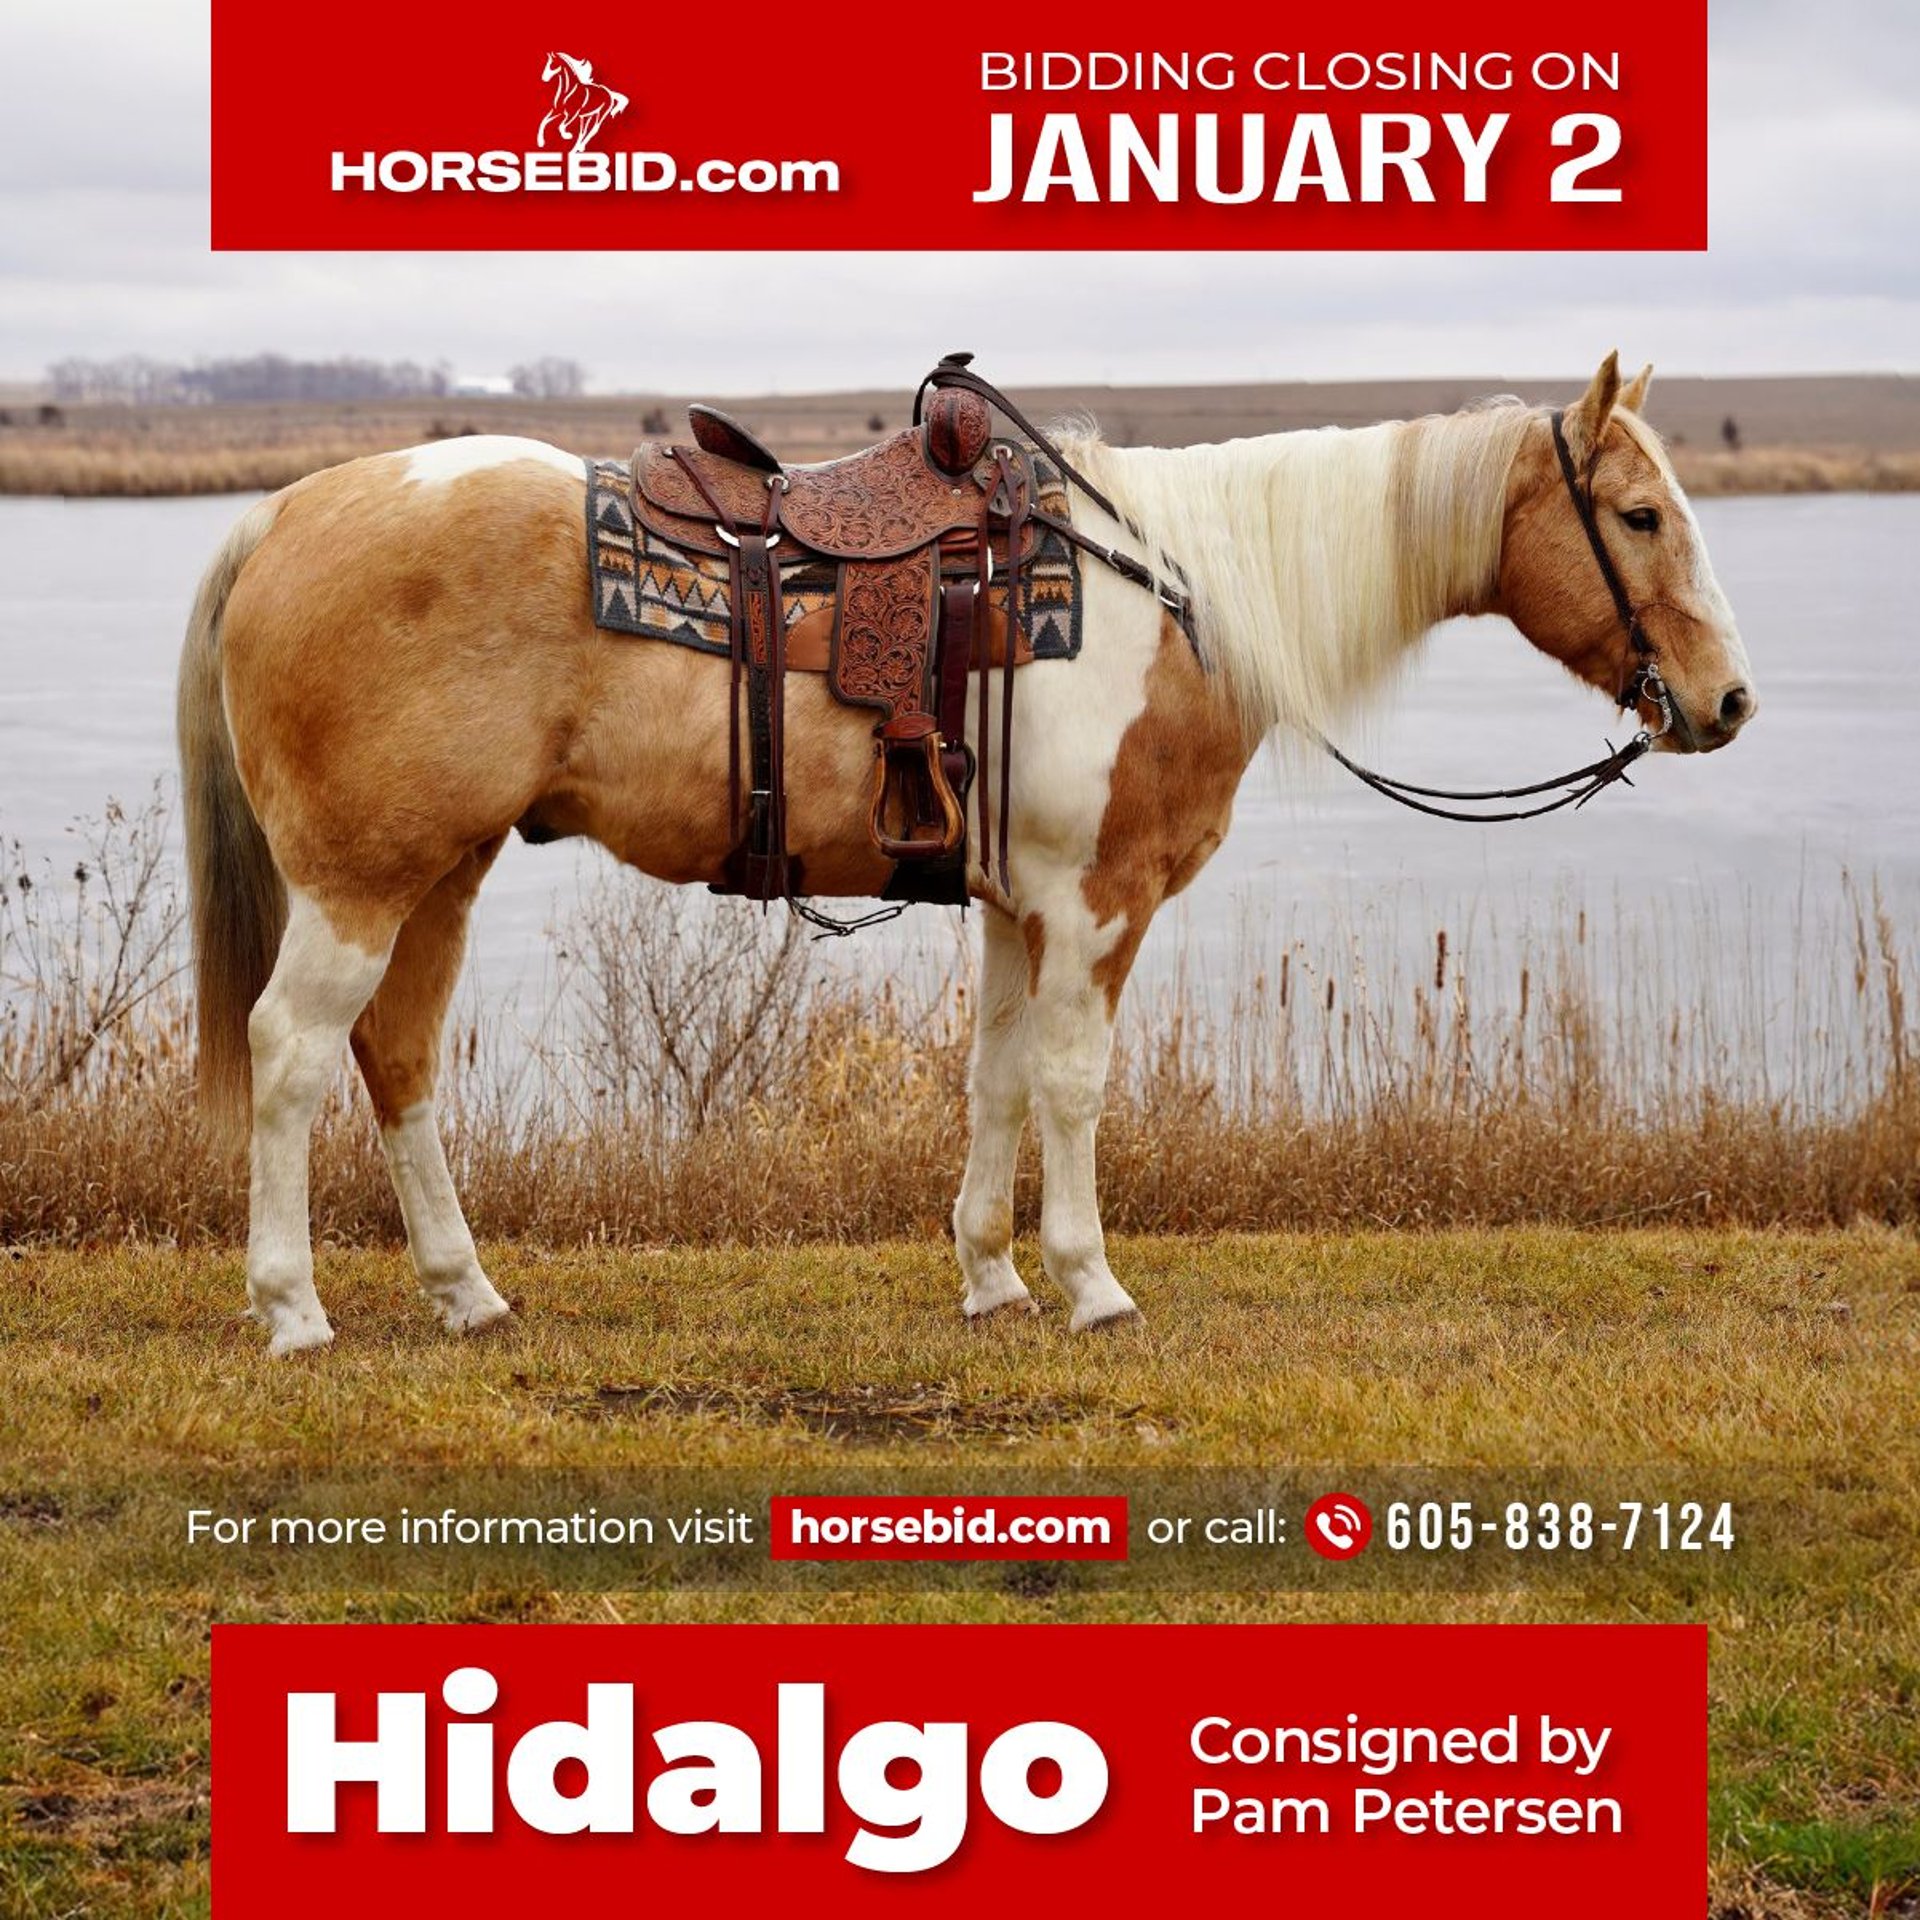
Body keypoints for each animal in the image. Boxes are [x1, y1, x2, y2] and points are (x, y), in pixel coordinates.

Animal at [177, 352, 1755, 1355]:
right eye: (1637, 516)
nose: (1727, 701)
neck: (1174, 596)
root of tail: (287, 511)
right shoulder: (1098, 904)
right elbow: (1071, 1086)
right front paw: (1091, 1283)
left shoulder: (1015, 907)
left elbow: (994, 1082)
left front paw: (993, 1280)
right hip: (361, 883)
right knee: (293, 1055)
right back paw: (293, 1310)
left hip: (438, 873)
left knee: (397, 1062)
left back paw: (467, 1293)